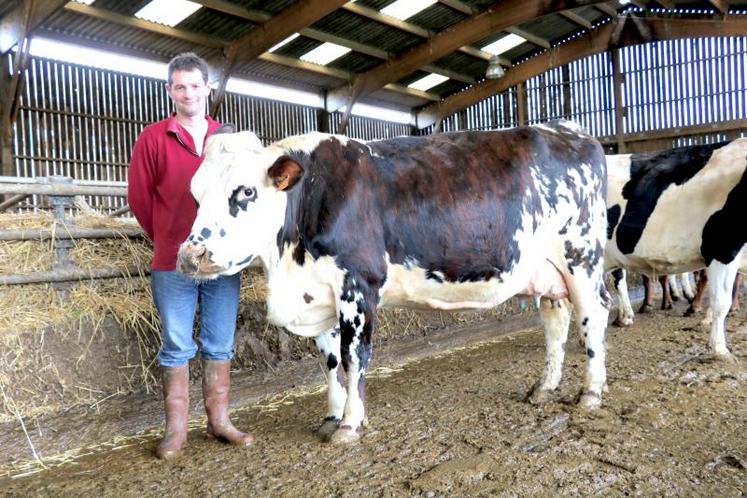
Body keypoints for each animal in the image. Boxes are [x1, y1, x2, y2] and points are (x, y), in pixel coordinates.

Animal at [178, 122, 612, 446]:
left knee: (594, 312)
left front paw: (350, 424)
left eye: (245, 191)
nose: (190, 255)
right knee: (556, 320)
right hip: (547, 270)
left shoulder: (358, 286)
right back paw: (545, 387)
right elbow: (329, 360)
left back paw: (591, 392)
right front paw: (331, 415)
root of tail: (572, 131)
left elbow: (353, 358)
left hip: (581, 257)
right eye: (194, 194)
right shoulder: (320, 294)